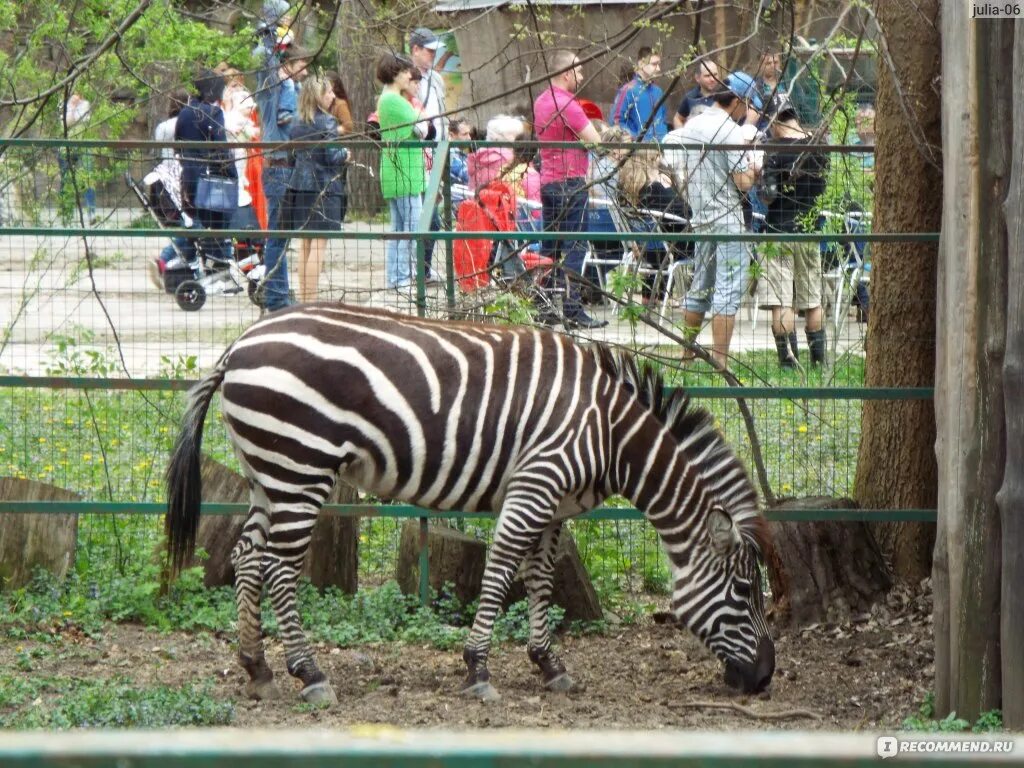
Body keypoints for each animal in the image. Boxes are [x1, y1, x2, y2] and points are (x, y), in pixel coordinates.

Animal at [165, 303, 774, 708]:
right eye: (745, 591)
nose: (767, 677)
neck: (612, 434)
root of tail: (238, 344)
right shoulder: (537, 480)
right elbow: (502, 569)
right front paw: (479, 668)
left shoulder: (555, 505)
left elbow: (540, 579)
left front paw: (548, 664)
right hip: (300, 466)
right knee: (279, 567)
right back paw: (309, 673)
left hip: (266, 473)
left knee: (247, 556)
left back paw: (257, 667)